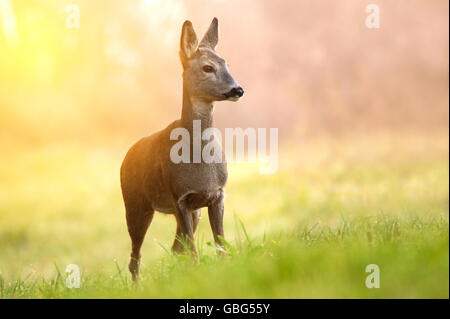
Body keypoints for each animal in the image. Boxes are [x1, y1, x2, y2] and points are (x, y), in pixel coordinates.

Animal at [120, 18, 243, 282]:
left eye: (226, 63)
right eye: (207, 67)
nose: (238, 89)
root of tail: (127, 155)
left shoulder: (217, 195)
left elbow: (220, 246)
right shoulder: (179, 197)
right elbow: (194, 252)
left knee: (176, 248)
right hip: (135, 203)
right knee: (136, 257)